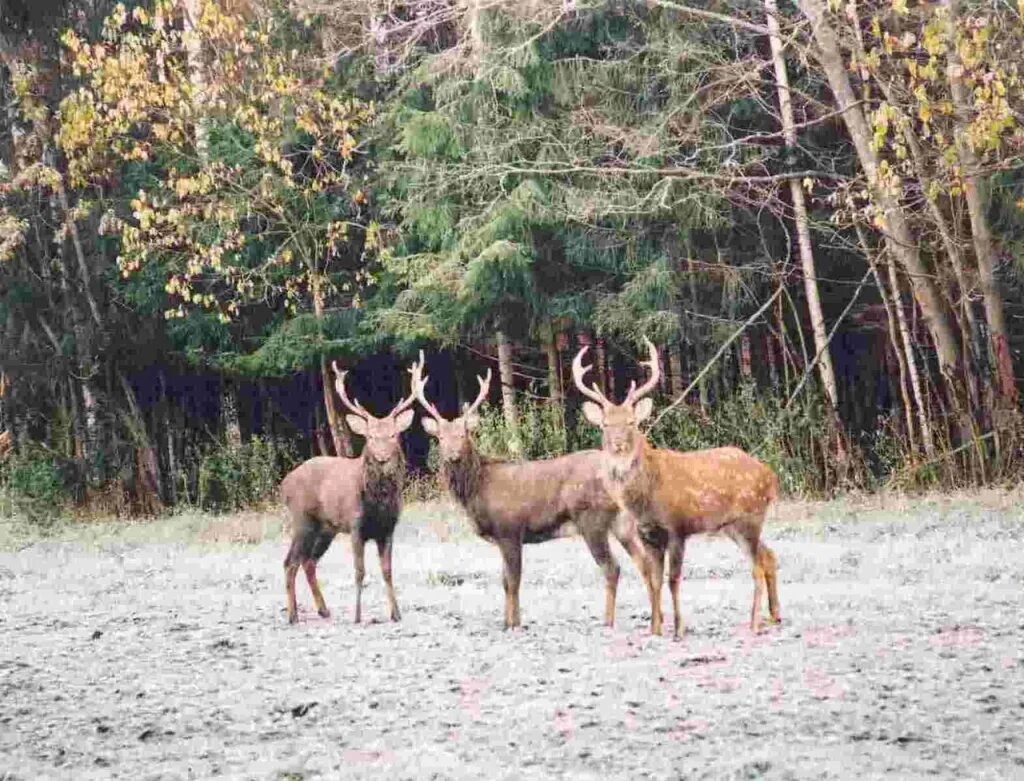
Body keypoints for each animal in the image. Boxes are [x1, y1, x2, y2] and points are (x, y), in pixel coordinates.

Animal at [280, 364, 415, 626]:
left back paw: (323, 610)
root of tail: (284, 484)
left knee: (308, 561)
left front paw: (396, 613)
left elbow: (387, 571)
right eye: (370, 437)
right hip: (302, 520)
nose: (382, 458)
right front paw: (357, 615)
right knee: (290, 562)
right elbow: (359, 571)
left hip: (326, 528)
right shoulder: (355, 525)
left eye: (393, 435)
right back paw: (292, 615)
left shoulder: (388, 528)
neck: (378, 504)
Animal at [407, 352, 647, 630]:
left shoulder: (510, 528)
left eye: (464, 434)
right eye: (441, 437)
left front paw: (514, 624)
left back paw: (607, 621)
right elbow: (504, 580)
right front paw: (508, 621)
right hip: (622, 522)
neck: (479, 489)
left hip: (592, 520)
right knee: (644, 562)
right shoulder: (502, 537)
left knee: (612, 568)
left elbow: (513, 581)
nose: (452, 456)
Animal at [573, 339, 778, 638]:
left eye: (632, 422)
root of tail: (771, 476)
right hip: (733, 526)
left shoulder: (677, 528)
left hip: (750, 518)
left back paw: (754, 623)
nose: (619, 445)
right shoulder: (648, 534)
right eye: (605, 424)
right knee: (769, 555)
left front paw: (679, 628)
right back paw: (775, 616)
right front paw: (655, 628)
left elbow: (673, 579)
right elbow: (655, 580)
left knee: (757, 567)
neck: (647, 497)